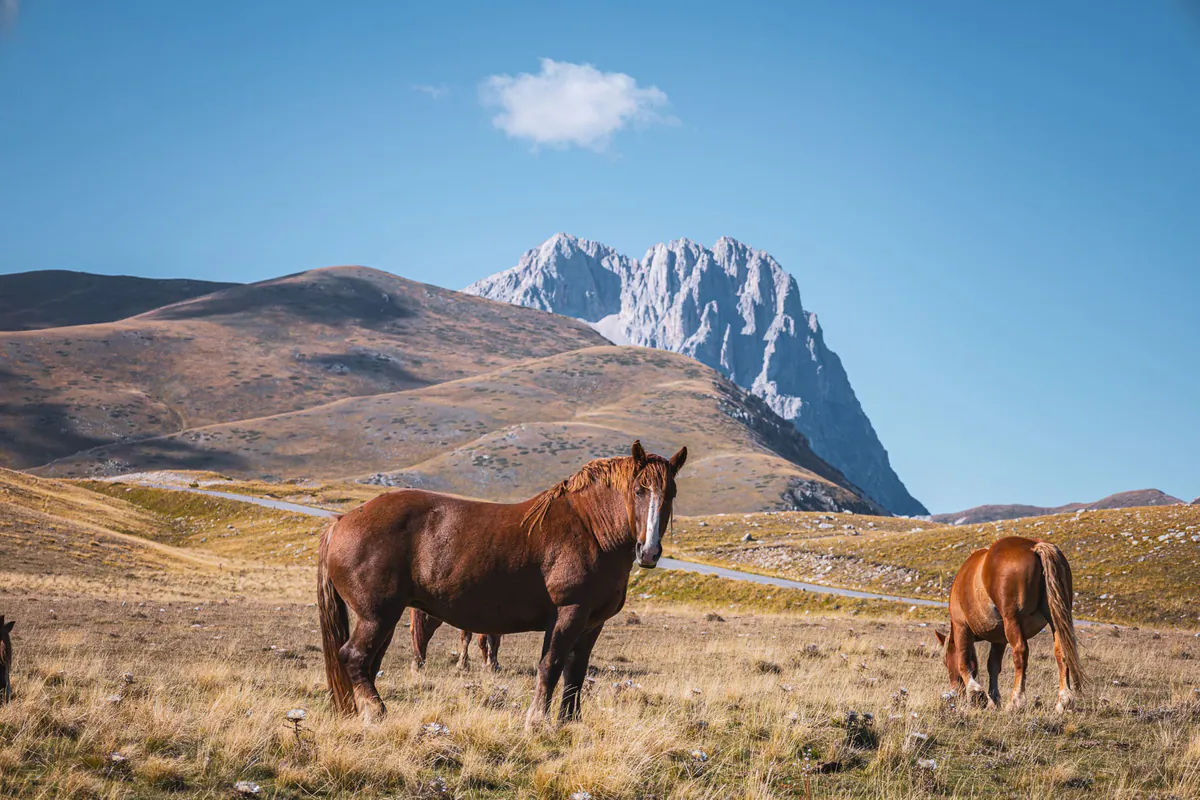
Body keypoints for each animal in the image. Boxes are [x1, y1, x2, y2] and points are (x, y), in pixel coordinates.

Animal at [318, 440, 687, 727]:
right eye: (639, 491)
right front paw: (537, 722)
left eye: (670, 493)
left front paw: (570, 722)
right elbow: (551, 666)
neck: (590, 529)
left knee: (369, 662)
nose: (649, 551)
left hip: (385, 619)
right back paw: (376, 713)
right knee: (354, 657)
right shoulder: (568, 614)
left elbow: (575, 673)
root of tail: (342, 521)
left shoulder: (591, 624)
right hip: (377, 617)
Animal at [935, 536, 1083, 712]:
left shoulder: (961, 627)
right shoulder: (999, 639)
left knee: (1020, 653)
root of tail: (1035, 547)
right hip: (1055, 620)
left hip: (1012, 620)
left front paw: (976, 693)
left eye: (945, 661)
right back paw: (1064, 700)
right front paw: (993, 699)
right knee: (1061, 651)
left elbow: (963, 661)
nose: (955, 693)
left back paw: (1016, 700)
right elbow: (993, 666)